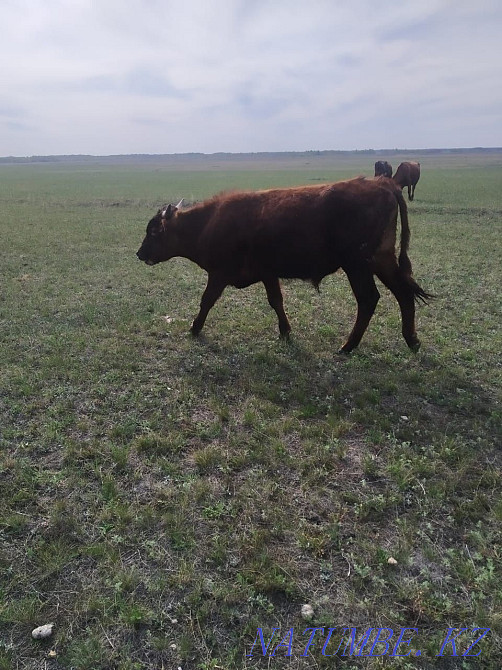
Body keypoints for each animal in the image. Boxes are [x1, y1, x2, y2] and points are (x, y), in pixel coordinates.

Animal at [136, 177, 431, 353]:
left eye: (154, 231)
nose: (139, 253)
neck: (208, 223)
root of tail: (382, 182)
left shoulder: (219, 275)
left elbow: (206, 300)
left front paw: (195, 328)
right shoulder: (268, 273)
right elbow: (276, 301)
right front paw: (286, 332)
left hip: (358, 265)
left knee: (369, 299)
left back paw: (348, 346)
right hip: (381, 260)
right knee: (404, 294)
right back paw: (412, 340)